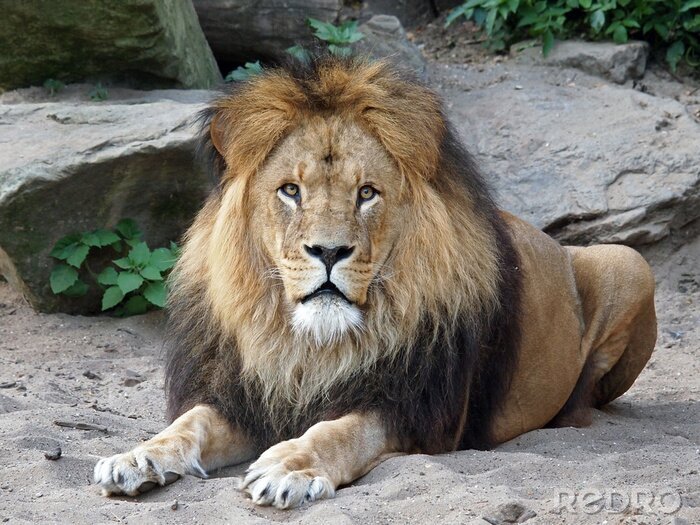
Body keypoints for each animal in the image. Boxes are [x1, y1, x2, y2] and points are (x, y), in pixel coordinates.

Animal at [93, 56, 657, 509]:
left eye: (367, 193)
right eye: (290, 191)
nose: (328, 252)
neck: (311, 346)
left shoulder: (411, 410)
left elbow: (336, 431)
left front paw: (289, 468)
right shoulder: (248, 398)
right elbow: (190, 423)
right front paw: (137, 457)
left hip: (629, 261)